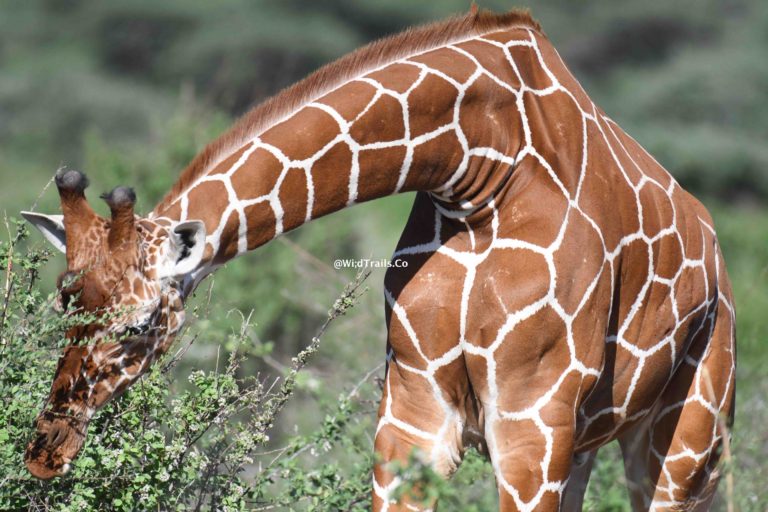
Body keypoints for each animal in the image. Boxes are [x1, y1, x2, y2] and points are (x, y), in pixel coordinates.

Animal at [21, 9, 736, 512]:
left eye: (141, 324)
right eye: (63, 304)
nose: (44, 451)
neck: (482, 171)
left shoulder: (531, 419)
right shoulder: (414, 411)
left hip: (687, 442)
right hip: (590, 444)